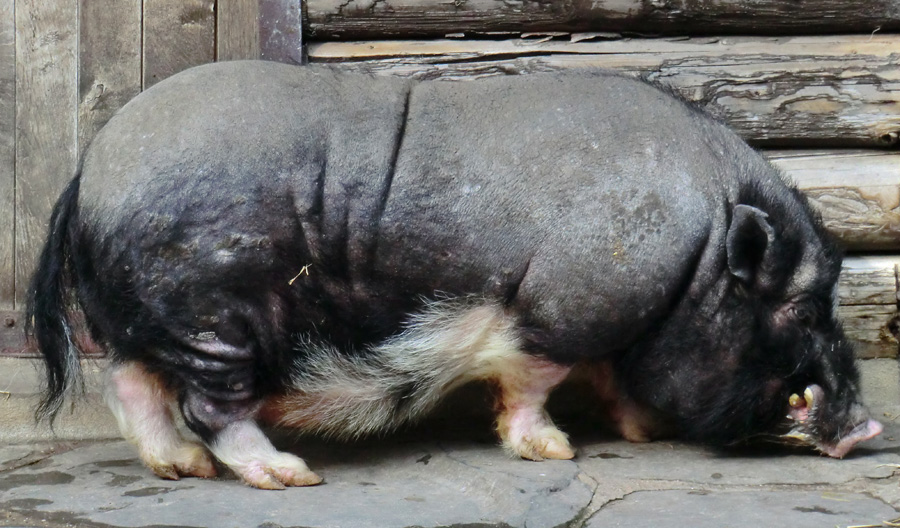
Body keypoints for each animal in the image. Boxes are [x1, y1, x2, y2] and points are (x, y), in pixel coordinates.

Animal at [26, 59, 880, 488]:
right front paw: (556, 452)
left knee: (131, 382)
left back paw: (180, 469)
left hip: (155, 317)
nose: (869, 429)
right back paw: (289, 475)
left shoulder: (609, 321)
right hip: (218, 316)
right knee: (209, 404)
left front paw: (647, 430)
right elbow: (534, 382)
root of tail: (87, 173)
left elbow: (614, 377)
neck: (699, 252)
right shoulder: (556, 308)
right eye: (803, 307)